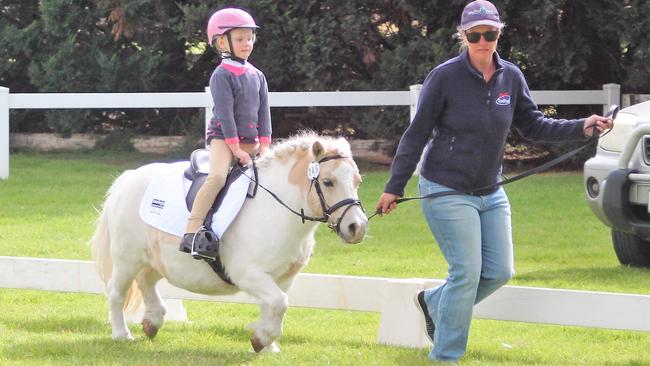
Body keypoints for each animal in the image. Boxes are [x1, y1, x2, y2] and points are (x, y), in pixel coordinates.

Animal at [89, 133, 368, 354]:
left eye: (357, 181)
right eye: (328, 182)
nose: (357, 228)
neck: (277, 210)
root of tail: (128, 178)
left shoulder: (282, 279)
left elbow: (274, 307)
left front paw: (268, 347)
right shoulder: (248, 274)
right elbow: (279, 304)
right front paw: (260, 340)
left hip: (156, 259)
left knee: (146, 281)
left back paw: (152, 322)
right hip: (127, 258)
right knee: (116, 292)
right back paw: (122, 334)